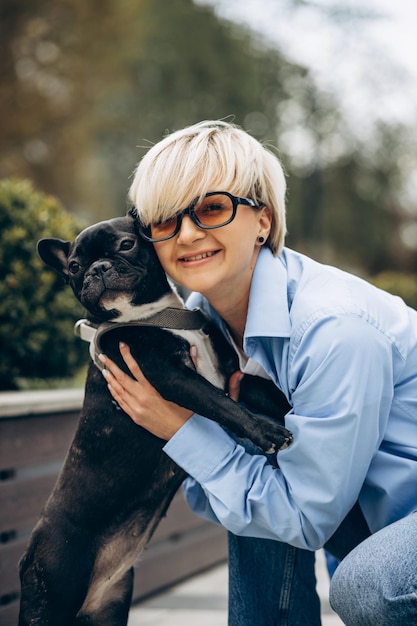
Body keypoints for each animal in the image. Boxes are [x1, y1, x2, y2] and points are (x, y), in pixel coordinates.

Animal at [17, 211, 292, 624]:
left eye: (126, 244)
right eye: (75, 267)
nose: (97, 268)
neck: (157, 317)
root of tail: (29, 553)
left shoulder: (231, 376)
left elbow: (261, 391)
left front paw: (291, 408)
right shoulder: (170, 376)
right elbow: (222, 405)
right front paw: (267, 431)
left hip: (110, 607)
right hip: (52, 593)